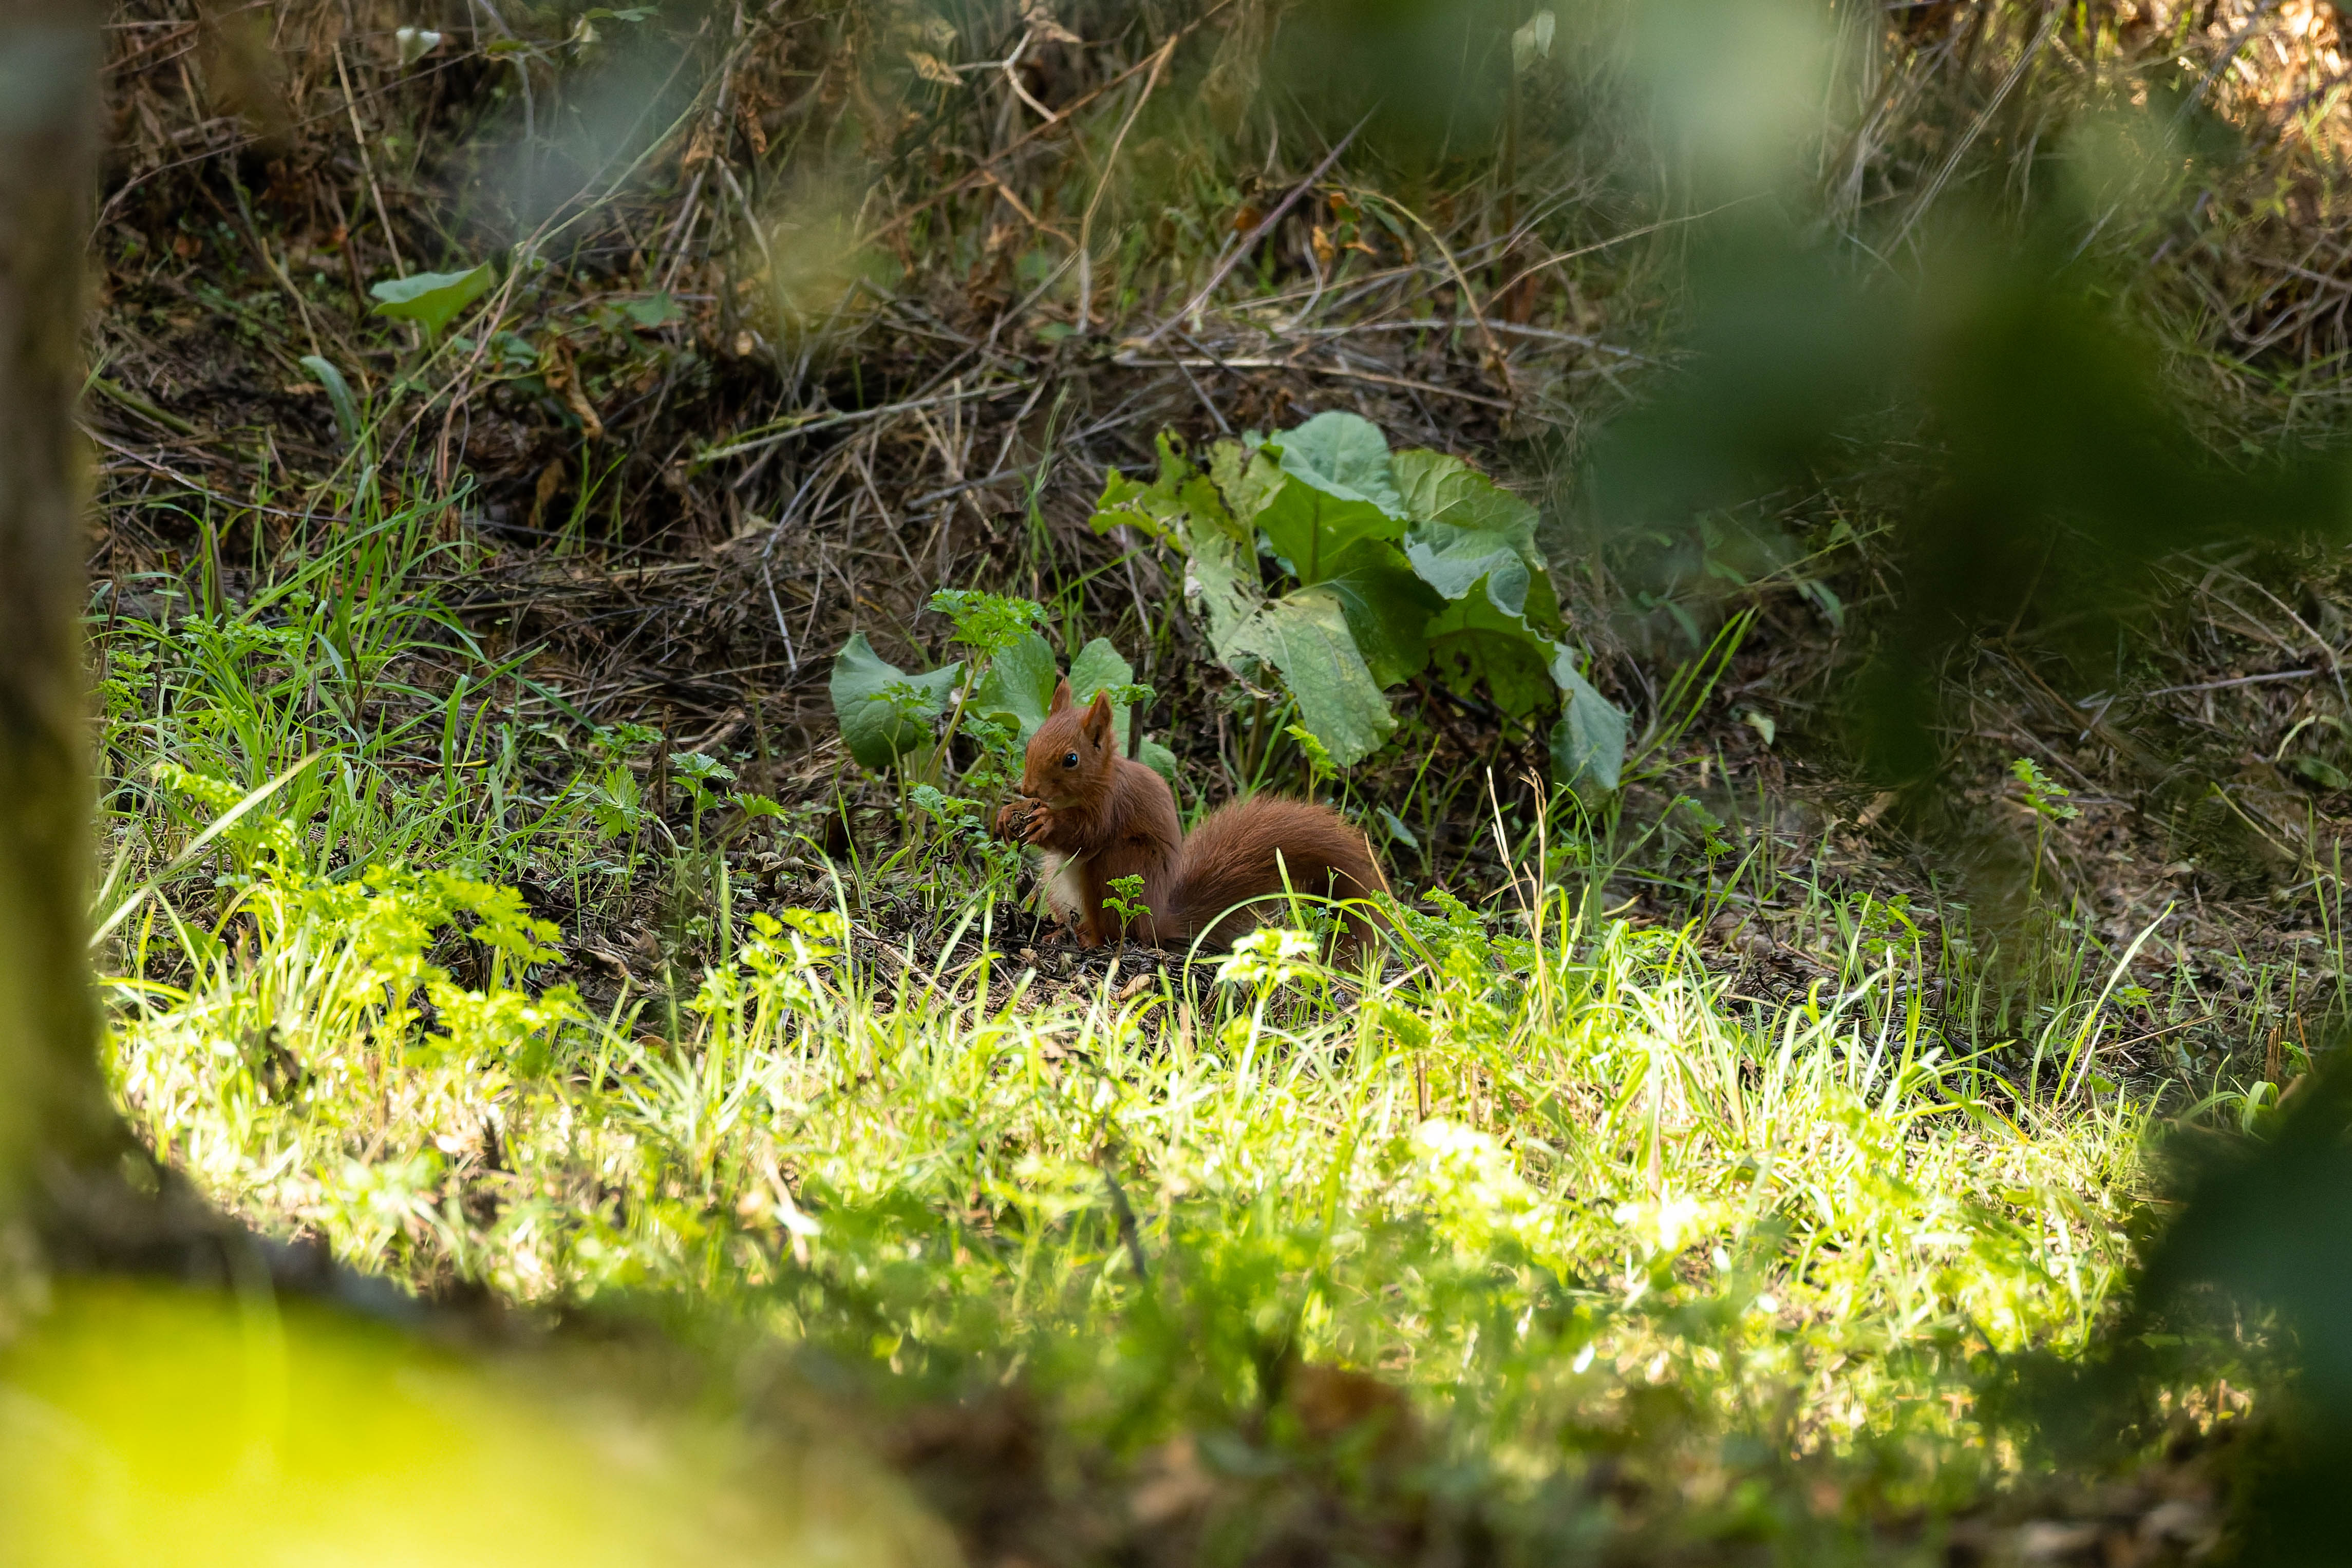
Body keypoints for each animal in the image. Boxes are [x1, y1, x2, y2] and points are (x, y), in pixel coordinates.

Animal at [994, 678, 1391, 952]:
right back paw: (1059, 931)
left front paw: (1047, 822)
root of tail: (1157, 920)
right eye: (1033, 742)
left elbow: (1087, 833)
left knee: (1115, 930)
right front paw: (1009, 813)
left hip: (1118, 868)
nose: (1028, 789)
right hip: (1057, 884)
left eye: (1071, 759)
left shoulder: (1112, 805)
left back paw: (1090, 939)